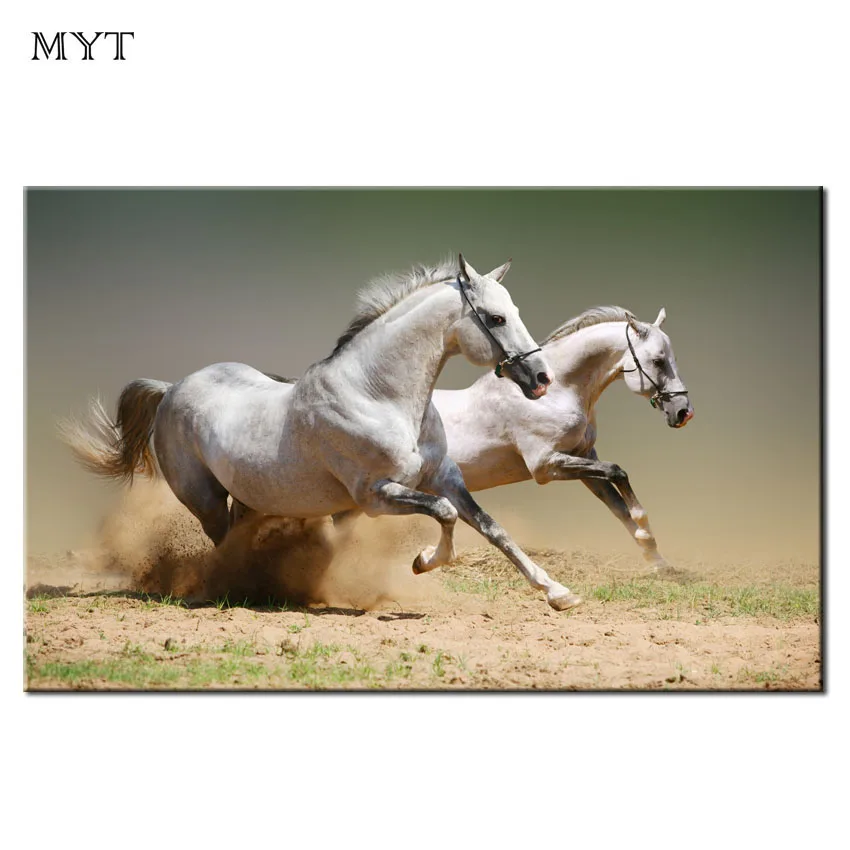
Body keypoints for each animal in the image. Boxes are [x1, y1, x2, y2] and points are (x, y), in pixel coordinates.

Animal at [61, 254, 584, 611]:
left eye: (513, 310)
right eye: (496, 318)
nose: (541, 378)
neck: (379, 395)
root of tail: (171, 389)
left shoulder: (444, 478)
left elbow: (492, 529)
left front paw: (558, 592)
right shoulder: (375, 496)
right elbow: (445, 515)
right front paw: (422, 561)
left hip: (248, 497)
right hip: (203, 498)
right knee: (222, 543)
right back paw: (235, 588)